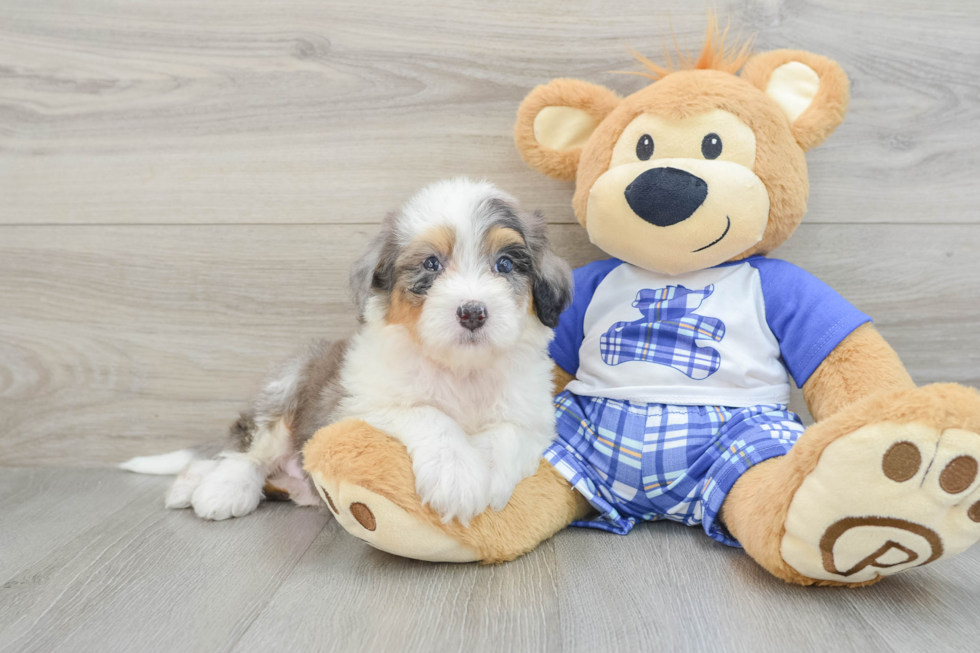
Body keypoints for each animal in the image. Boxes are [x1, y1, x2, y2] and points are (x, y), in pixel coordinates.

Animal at [120, 178, 576, 524]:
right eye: (430, 264)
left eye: (505, 264)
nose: (473, 312)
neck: (461, 371)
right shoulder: (358, 405)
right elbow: (428, 415)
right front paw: (458, 475)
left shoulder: (534, 418)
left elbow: (506, 434)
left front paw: (490, 475)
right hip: (287, 384)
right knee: (245, 449)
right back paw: (215, 489)